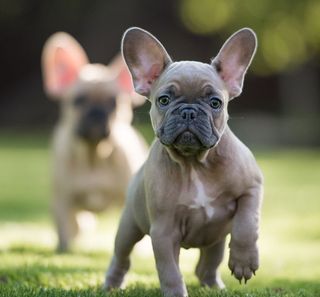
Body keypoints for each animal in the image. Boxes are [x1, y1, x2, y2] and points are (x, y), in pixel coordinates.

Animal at [105, 26, 262, 294]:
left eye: (215, 103)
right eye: (164, 100)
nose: (188, 111)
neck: (194, 163)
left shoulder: (252, 188)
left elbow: (246, 223)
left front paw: (243, 261)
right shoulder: (163, 231)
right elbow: (170, 272)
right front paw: (176, 293)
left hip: (216, 240)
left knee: (208, 263)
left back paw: (214, 286)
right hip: (129, 226)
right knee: (121, 255)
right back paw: (112, 283)